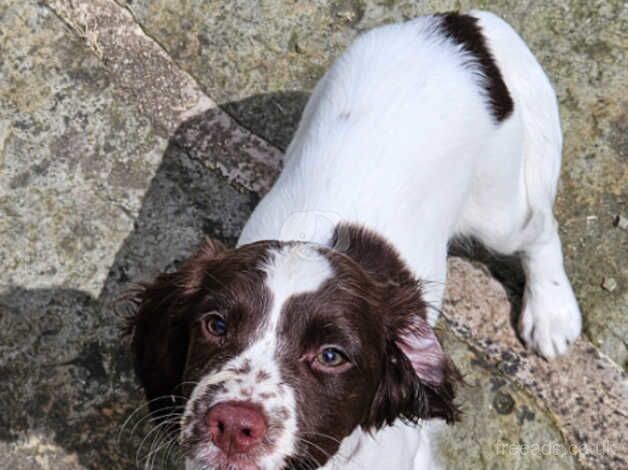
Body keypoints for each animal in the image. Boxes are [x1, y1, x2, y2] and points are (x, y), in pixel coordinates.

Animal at [127, 11, 584, 470]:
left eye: (332, 356)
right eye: (215, 325)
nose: (233, 425)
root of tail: (456, 23)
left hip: (499, 211)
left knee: (541, 227)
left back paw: (551, 313)